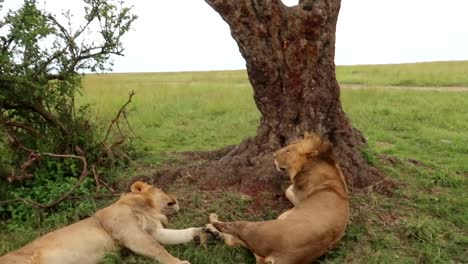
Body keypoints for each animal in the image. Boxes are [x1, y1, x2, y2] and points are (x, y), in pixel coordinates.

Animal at [0, 180, 209, 264]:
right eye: (160, 188)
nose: (176, 198)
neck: (147, 209)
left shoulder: (155, 231)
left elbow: (178, 235)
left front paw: (203, 232)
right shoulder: (131, 234)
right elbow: (158, 249)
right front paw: (179, 262)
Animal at [207, 133, 350, 262]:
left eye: (288, 150)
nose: (273, 155)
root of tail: (281, 256)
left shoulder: (299, 196)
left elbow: (288, 190)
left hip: (254, 228)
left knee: (228, 228)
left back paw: (212, 221)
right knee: (230, 239)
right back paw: (212, 232)